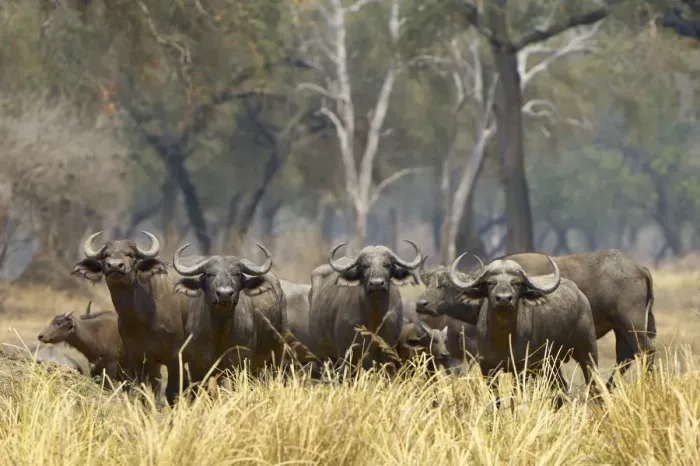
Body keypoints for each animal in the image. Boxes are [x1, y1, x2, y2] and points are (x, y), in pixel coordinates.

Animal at [71, 231, 190, 404]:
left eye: (131, 254)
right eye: (106, 255)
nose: (115, 266)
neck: (141, 320)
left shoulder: (175, 357)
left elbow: (173, 392)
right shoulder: (137, 359)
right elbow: (142, 392)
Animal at [172, 243, 288, 383]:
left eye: (237, 274)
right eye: (209, 274)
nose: (224, 294)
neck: (219, 334)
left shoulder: (241, 363)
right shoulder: (196, 366)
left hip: (279, 350)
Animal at [307, 241, 423, 370]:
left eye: (387, 264)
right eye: (364, 265)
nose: (377, 283)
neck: (375, 319)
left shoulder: (388, 351)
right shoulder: (347, 353)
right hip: (323, 356)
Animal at [417, 249, 655, 389]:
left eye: (445, 285)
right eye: (427, 282)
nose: (421, 304)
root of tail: (639, 267)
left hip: (631, 323)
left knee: (646, 351)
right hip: (619, 328)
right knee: (626, 356)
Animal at [449, 254, 598, 406]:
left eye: (516, 283)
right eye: (491, 283)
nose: (504, 299)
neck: (502, 337)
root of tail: (581, 296)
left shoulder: (521, 368)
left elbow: (514, 397)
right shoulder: (487, 367)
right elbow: (496, 399)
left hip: (587, 350)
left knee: (594, 384)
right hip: (549, 363)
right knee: (560, 387)